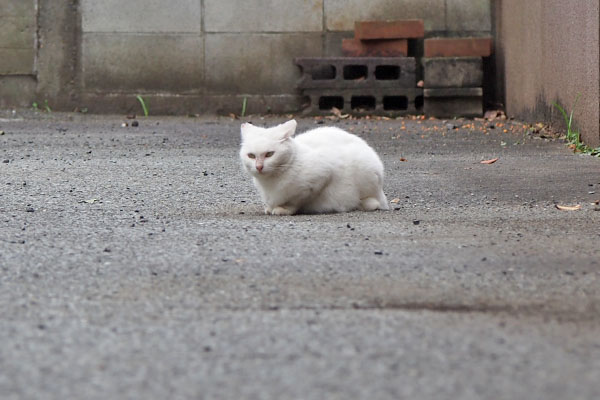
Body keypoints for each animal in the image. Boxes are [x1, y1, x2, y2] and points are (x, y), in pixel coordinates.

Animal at [239, 119, 390, 216]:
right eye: (251, 156)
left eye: (269, 154)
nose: (259, 167)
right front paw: (270, 208)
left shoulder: (321, 176)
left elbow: (295, 201)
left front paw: (283, 209)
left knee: (374, 202)